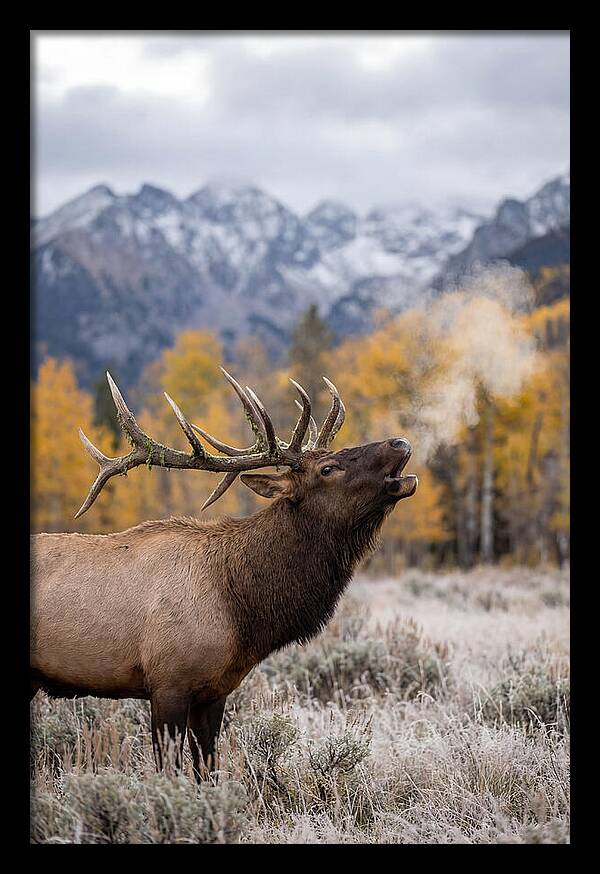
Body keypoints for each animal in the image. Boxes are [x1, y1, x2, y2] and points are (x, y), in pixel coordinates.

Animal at [30, 367, 417, 781]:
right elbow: (169, 772)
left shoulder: (215, 691)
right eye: (327, 468)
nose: (399, 442)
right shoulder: (167, 682)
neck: (240, 610)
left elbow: (209, 770)